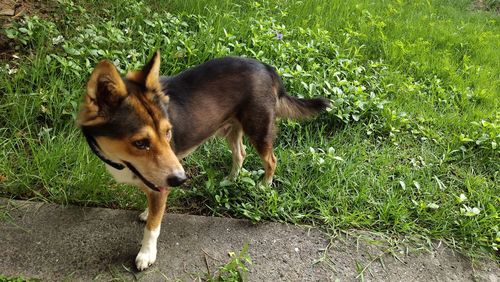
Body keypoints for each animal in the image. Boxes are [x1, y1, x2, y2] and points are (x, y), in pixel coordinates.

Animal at [77, 51, 328, 270]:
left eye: (168, 132)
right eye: (140, 143)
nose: (181, 180)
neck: (121, 162)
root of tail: (267, 68)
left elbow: (153, 227)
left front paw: (146, 253)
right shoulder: (156, 180)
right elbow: (154, 203)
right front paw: (148, 212)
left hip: (259, 130)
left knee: (271, 160)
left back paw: (264, 186)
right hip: (232, 128)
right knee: (240, 154)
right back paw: (230, 180)